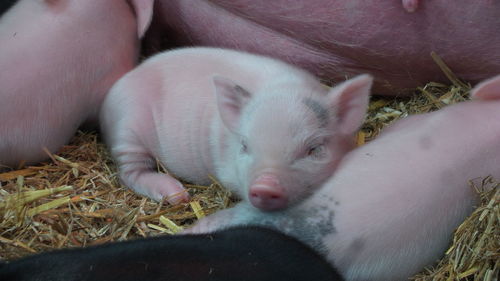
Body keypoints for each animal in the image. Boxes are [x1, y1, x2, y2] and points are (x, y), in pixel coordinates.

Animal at [99, 47, 372, 209]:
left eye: (314, 149)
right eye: (245, 146)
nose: (264, 187)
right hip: (127, 130)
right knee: (129, 173)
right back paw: (177, 195)